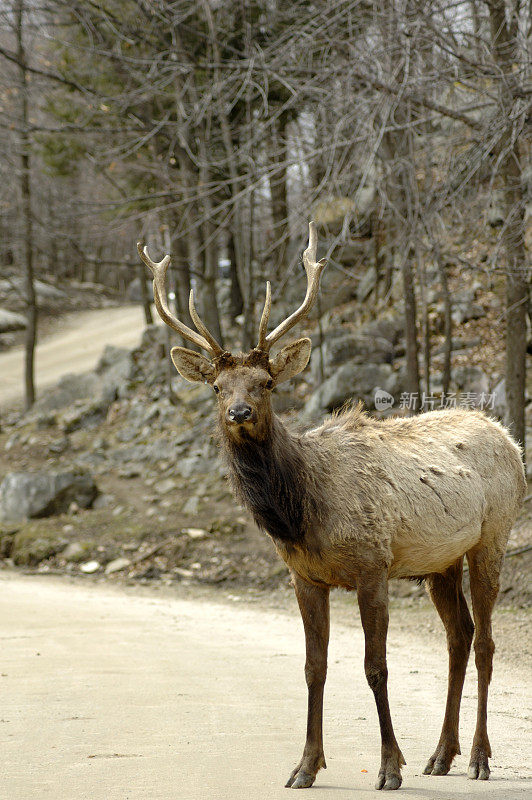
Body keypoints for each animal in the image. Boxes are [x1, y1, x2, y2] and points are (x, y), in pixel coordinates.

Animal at [136, 222, 524, 792]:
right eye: (216, 385)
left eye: (266, 383)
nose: (239, 411)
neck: (303, 514)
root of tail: (512, 441)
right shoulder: (304, 576)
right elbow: (312, 668)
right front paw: (305, 766)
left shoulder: (372, 566)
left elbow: (375, 667)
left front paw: (389, 767)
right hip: (440, 562)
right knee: (460, 636)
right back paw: (441, 754)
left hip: (492, 536)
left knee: (486, 644)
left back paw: (477, 757)